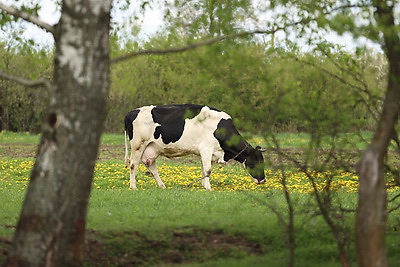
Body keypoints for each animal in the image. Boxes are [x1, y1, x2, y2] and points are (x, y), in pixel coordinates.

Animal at [123, 104, 264, 191]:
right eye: (256, 162)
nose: (263, 180)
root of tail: (131, 112)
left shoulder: (206, 152)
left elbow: (203, 169)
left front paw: (203, 185)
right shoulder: (206, 148)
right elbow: (208, 170)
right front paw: (208, 188)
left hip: (152, 148)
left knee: (152, 167)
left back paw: (162, 185)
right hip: (138, 145)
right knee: (133, 165)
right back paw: (133, 186)